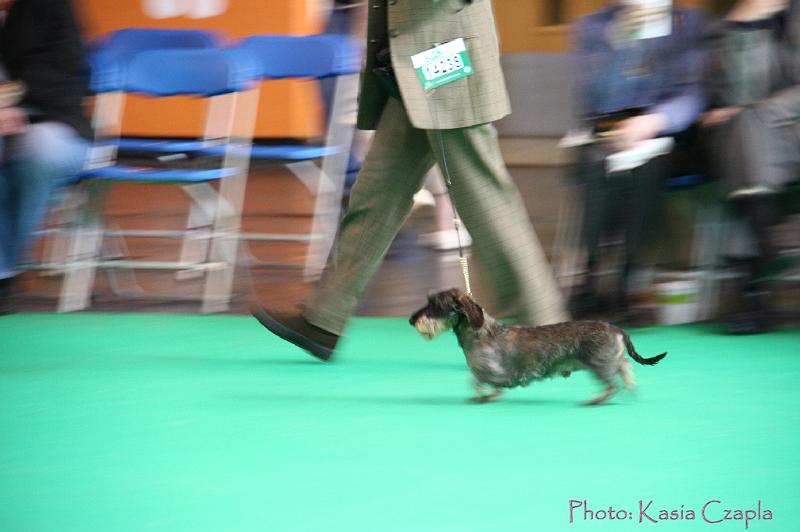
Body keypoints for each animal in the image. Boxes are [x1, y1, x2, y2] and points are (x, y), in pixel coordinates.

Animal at [410, 288, 664, 406]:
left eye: (435, 306)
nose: (411, 320)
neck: (481, 332)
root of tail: (616, 329)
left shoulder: (492, 371)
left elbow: (478, 382)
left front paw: (487, 396)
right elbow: (477, 383)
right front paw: (485, 396)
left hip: (598, 365)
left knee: (613, 384)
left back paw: (596, 401)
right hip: (609, 361)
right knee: (624, 366)